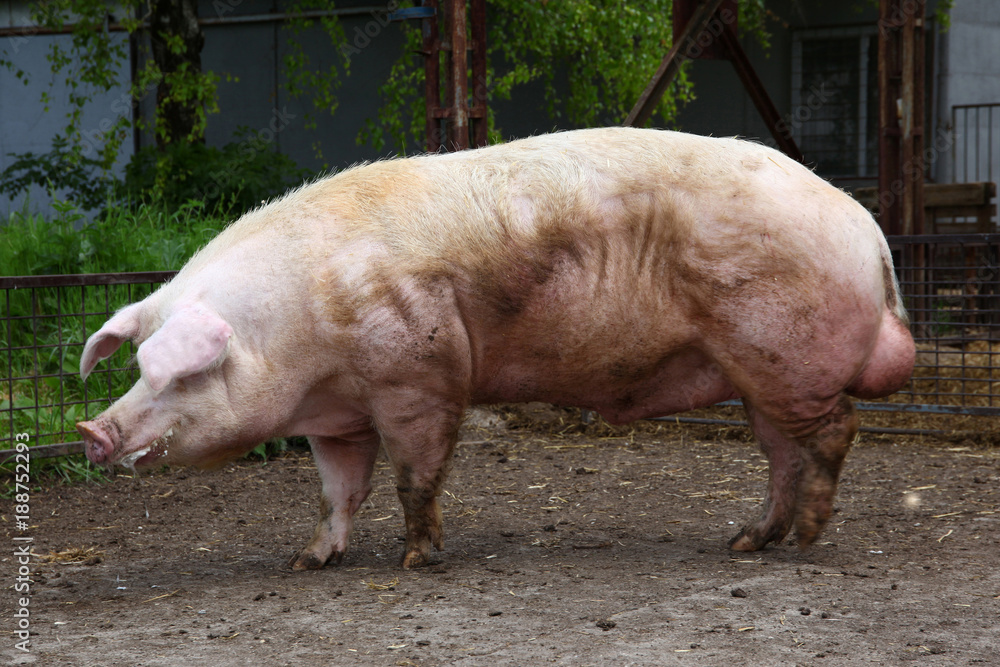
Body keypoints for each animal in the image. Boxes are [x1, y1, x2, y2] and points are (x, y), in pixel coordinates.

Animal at [76, 127, 915, 569]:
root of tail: (868, 230)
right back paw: (744, 541)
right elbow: (338, 489)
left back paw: (804, 542)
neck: (299, 336)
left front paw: (416, 560)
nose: (91, 429)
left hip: (786, 356)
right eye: (136, 368)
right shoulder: (337, 415)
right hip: (762, 376)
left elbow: (414, 475)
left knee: (835, 433)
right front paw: (308, 561)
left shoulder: (419, 376)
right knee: (781, 454)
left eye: (179, 377)